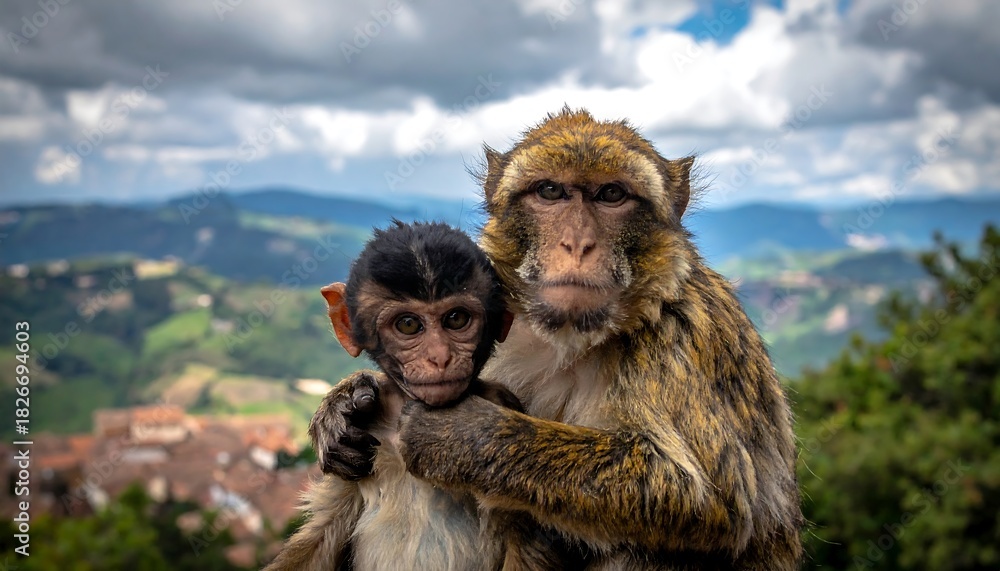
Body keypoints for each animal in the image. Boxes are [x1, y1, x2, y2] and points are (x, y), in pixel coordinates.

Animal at [307, 107, 804, 570]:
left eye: (611, 195)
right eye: (550, 192)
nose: (578, 244)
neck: (569, 338)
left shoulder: (682, 338)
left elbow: (708, 501)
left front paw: (462, 436)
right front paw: (343, 408)